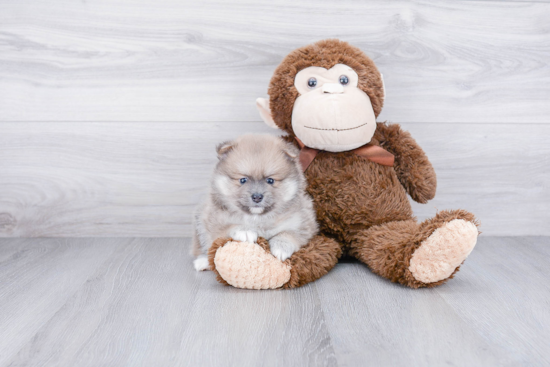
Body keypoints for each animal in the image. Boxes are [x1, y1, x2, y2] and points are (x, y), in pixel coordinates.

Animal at [192, 134, 320, 272]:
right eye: (243, 180)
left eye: (270, 180)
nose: (257, 197)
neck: (257, 218)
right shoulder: (212, 221)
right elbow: (228, 228)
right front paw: (245, 231)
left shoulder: (304, 223)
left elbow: (289, 234)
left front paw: (281, 247)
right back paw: (203, 261)